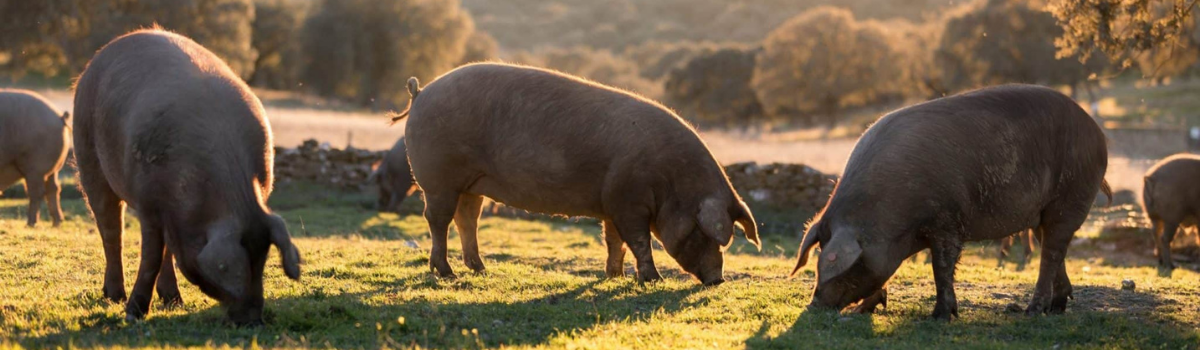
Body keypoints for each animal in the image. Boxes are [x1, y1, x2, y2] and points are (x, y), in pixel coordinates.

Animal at [0, 89, 70, 226]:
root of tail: (59, 117)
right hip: (53, 169)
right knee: (54, 188)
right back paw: (57, 222)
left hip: (36, 166)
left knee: (36, 192)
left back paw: (30, 223)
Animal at [73, 30, 302, 326]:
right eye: (239, 269)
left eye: (261, 261)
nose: (253, 320)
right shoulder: (149, 203)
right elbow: (150, 258)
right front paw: (133, 315)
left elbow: (164, 252)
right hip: (87, 153)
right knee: (111, 230)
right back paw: (114, 297)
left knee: (163, 248)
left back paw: (173, 301)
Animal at [388, 62, 758, 285]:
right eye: (704, 232)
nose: (718, 280)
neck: (671, 182)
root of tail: (420, 93)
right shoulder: (628, 201)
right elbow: (639, 241)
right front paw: (652, 280)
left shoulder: (612, 202)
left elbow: (615, 242)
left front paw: (615, 277)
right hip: (438, 179)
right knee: (438, 220)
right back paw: (446, 273)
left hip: (471, 184)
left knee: (467, 219)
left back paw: (480, 269)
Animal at [792, 84, 1108, 318]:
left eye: (843, 266)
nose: (814, 305)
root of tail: (1097, 132)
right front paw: (864, 310)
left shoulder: (947, 221)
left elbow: (941, 267)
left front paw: (941, 316)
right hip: (1044, 212)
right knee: (1053, 249)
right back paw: (1056, 307)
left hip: (1070, 196)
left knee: (1052, 252)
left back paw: (1032, 310)